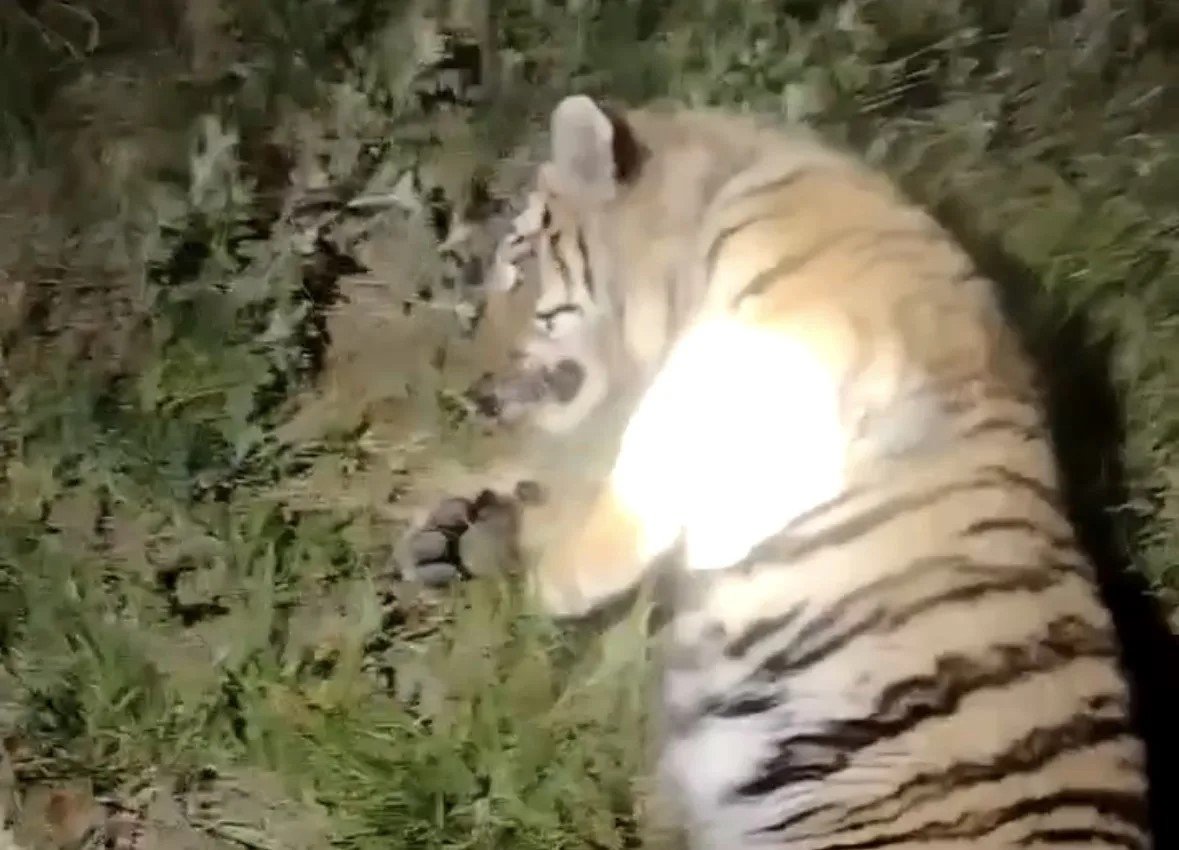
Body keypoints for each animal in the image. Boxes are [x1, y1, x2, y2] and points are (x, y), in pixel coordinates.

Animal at [411, 94, 1153, 849]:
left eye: (520, 263)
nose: (471, 389)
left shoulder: (786, 332)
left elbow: (656, 438)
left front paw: (555, 573)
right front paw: (464, 526)